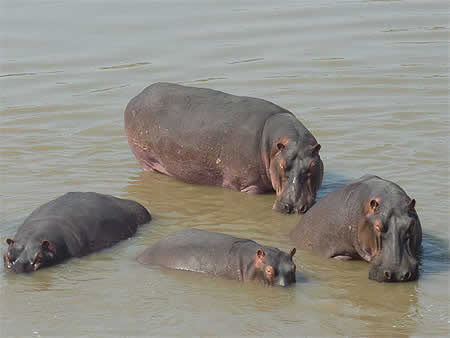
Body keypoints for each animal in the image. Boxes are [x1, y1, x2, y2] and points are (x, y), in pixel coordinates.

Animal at [125, 82, 322, 214]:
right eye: (282, 166)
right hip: (146, 161)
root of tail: (137, 96)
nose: (293, 206)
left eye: (312, 166)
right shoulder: (248, 186)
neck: (272, 145)